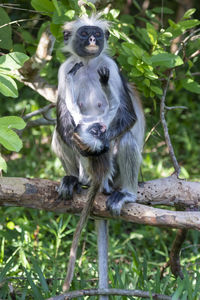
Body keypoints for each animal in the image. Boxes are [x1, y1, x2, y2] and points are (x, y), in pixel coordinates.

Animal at [51, 14, 145, 290]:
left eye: (97, 34)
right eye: (84, 33)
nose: (93, 39)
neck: (89, 64)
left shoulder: (111, 67)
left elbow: (127, 116)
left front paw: (97, 146)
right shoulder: (65, 69)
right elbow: (64, 119)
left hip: (117, 177)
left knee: (125, 139)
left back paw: (125, 192)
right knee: (59, 131)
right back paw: (75, 178)